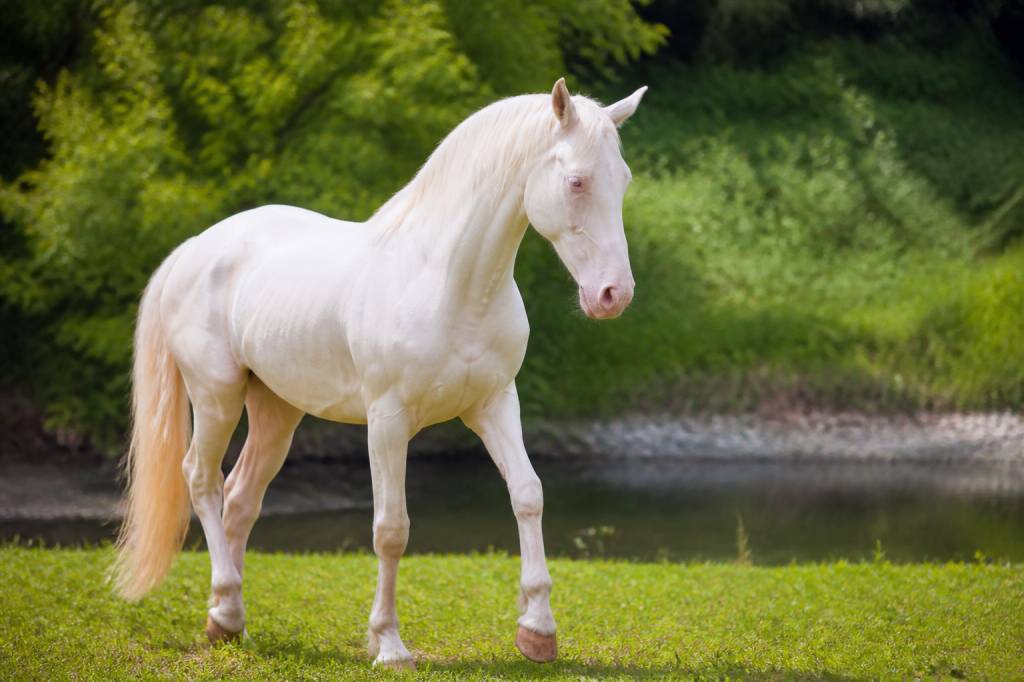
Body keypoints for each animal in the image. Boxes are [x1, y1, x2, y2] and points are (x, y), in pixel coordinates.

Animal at [112, 77, 646, 669]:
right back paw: (227, 606)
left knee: (241, 497)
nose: (613, 295)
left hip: (276, 411)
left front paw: (538, 631)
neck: (447, 283)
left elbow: (528, 494)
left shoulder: (494, 405)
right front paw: (389, 644)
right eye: (576, 181)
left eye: (622, 179)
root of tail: (193, 249)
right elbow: (391, 529)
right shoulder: (388, 422)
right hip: (217, 397)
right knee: (202, 481)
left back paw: (227, 621)